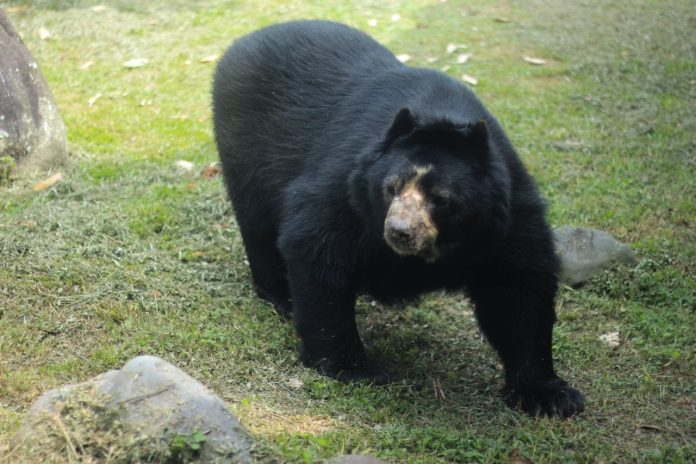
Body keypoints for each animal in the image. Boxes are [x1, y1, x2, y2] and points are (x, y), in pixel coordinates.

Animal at [213, 20, 584, 418]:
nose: (399, 232)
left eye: (440, 199)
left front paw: (549, 395)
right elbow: (316, 243)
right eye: (391, 188)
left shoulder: (507, 214)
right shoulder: (348, 186)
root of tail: (245, 40)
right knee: (258, 224)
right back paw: (280, 295)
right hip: (244, 144)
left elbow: (519, 289)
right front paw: (353, 368)